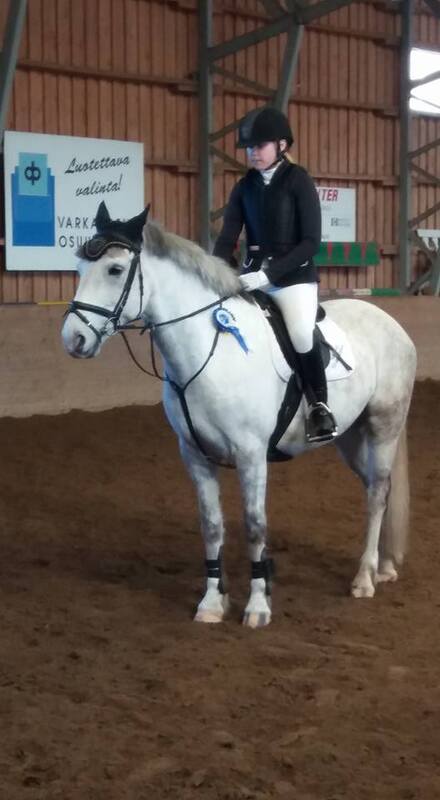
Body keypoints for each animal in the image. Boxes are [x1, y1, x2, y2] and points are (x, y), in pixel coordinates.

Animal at [62, 204, 417, 628]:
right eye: (79, 268)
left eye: (115, 270)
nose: (74, 340)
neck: (209, 349)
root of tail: (392, 323)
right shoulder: (195, 454)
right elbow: (212, 525)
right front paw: (212, 603)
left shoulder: (251, 455)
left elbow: (254, 525)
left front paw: (258, 606)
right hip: (348, 436)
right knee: (376, 487)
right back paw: (384, 567)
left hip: (383, 425)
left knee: (378, 491)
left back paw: (364, 578)